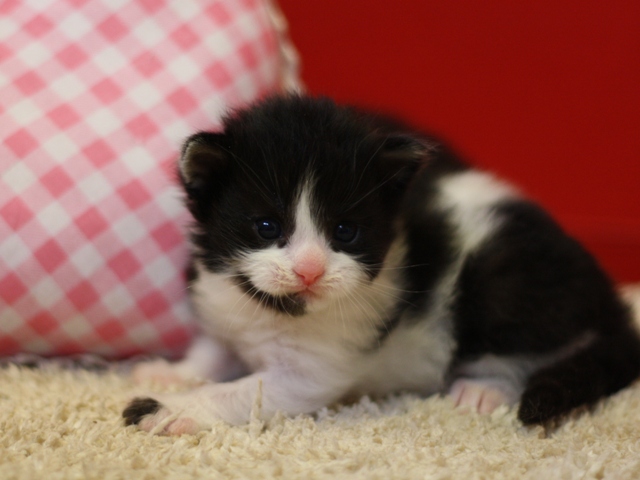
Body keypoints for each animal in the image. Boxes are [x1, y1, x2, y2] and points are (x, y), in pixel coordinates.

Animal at [124, 94, 640, 436]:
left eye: (345, 232)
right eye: (267, 226)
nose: (310, 270)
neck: (270, 308)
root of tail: (608, 298)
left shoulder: (314, 369)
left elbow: (246, 391)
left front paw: (170, 408)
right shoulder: (225, 307)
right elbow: (213, 350)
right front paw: (171, 373)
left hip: (506, 278)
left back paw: (484, 388)